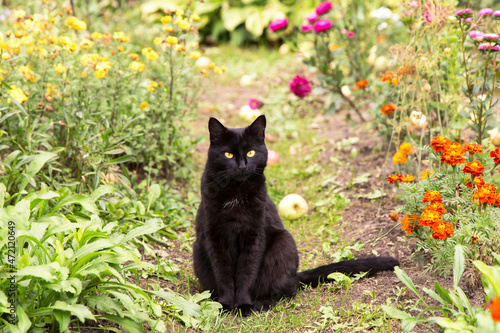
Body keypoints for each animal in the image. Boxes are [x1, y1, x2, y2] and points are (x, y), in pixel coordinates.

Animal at [192, 115, 398, 316]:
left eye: (250, 153)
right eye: (228, 154)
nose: (242, 166)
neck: (236, 193)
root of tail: (295, 276)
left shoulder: (254, 235)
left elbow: (246, 273)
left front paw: (243, 305)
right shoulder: (215, 236)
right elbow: (223, 273)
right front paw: (225, 305)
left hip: (284, 243)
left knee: (286, 289)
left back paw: (264, 302)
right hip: (198, 247)